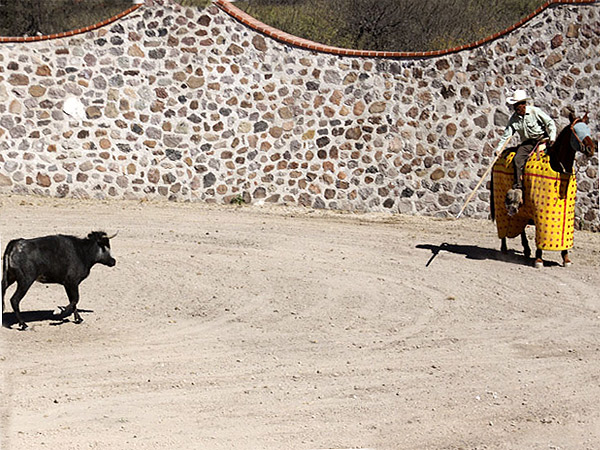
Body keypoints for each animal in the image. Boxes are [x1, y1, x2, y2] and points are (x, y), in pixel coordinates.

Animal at [492, 112, 596, 268]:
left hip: (519, 210)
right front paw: (539, 259)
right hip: (501, 205)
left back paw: (526, 249)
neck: (558, 164)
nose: (591, 149)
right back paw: (504, 249)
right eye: (576, 131)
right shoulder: (538, 209)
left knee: (520, 226)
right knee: (504, 223)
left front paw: (566, 258)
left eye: (588, 128)